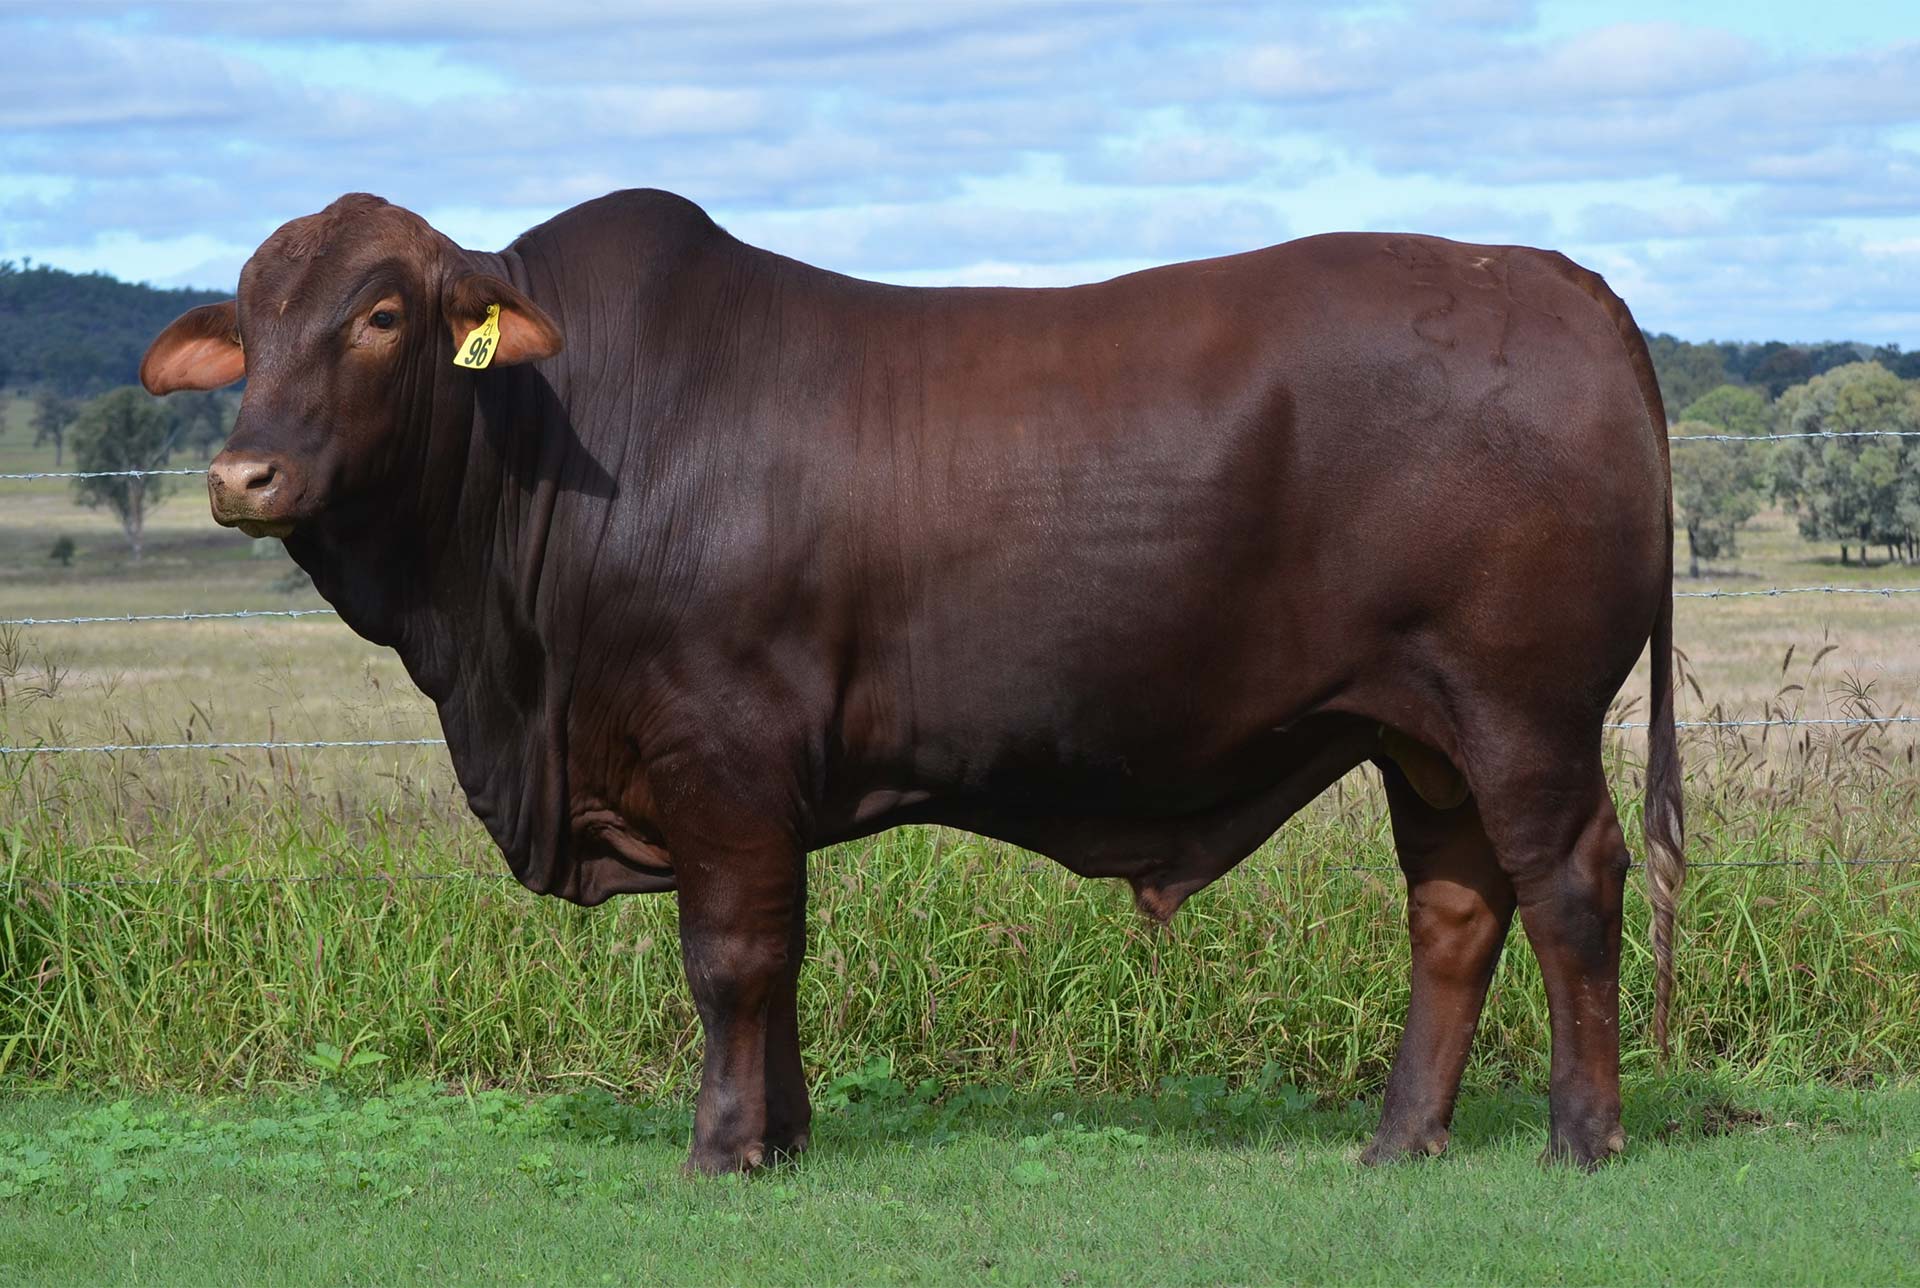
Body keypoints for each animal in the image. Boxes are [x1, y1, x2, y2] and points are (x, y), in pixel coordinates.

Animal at [142, 190, 1683, 1175]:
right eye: (251, 326)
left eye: (382, 315)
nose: (242, 475)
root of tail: (1558, 279)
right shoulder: (747, 791)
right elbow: (780, 959)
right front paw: (785, 1133)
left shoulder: (720, 749)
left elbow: (732, 956)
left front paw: (721, 1149)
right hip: (1418, 730)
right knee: (1455, 907)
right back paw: (1400, 1139)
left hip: (1522, 710)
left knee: (1568, 885)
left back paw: (1581, 1135)